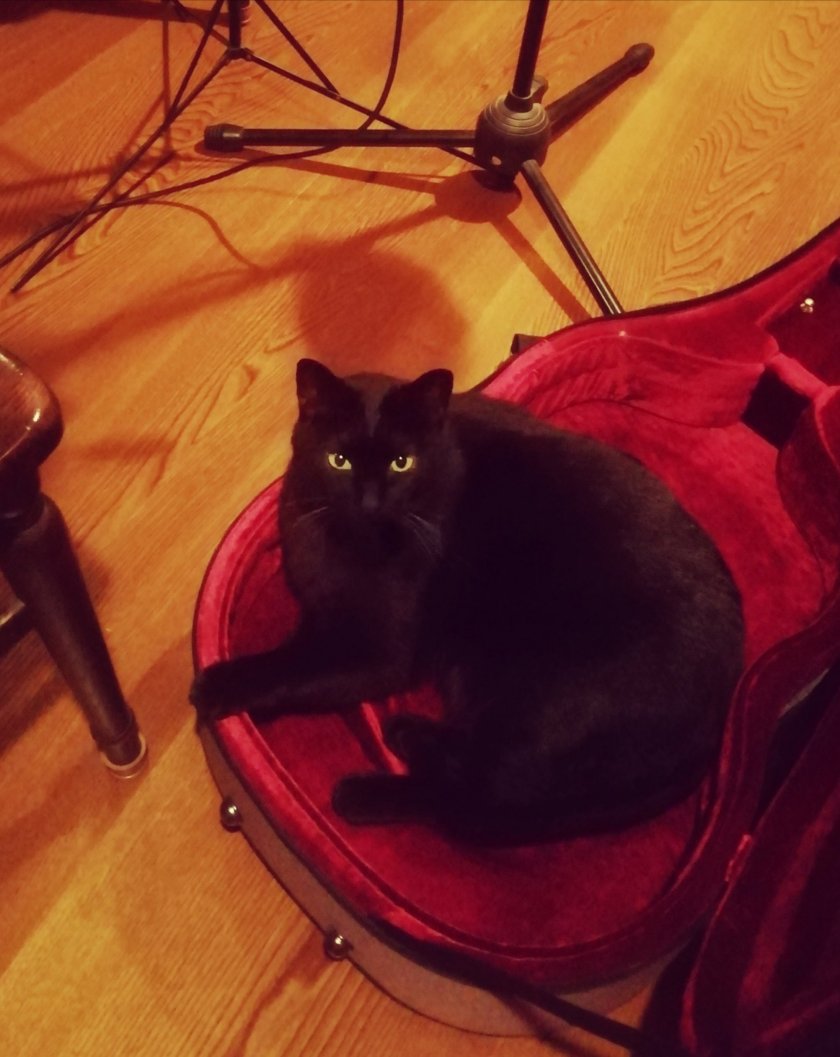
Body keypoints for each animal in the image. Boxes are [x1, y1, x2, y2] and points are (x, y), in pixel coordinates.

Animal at [191, 358, 744, 844]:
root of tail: (720, 713)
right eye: (338, 460)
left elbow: (292, 669)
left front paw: (218, 684)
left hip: (528, 686)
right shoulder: (322, 613)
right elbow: (297, 657)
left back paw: (371, 780)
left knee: (478, 797)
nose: (369, 501)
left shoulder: (375, 654)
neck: (347, 543)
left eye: (402, 462)